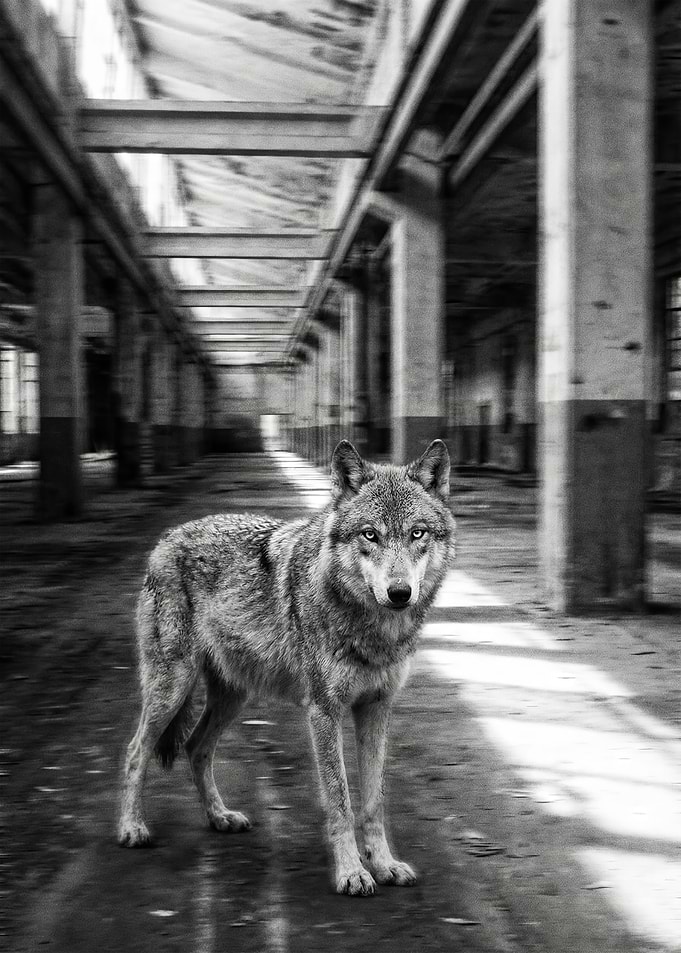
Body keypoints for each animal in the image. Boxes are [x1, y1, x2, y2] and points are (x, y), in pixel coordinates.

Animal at [118, 439, 455, 896]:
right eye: (370, 534)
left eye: (417, 533)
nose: (399, 593)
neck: (373, 628)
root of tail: (167, 538)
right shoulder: (323, 711)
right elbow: (340, 800)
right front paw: (351, 872)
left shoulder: (377, 708)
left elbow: (373, 801)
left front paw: (384, 864)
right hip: (172, 688)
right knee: (137, 750)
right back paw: (131, 828)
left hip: (233, 695)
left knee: (195, 747)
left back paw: (220, 817)